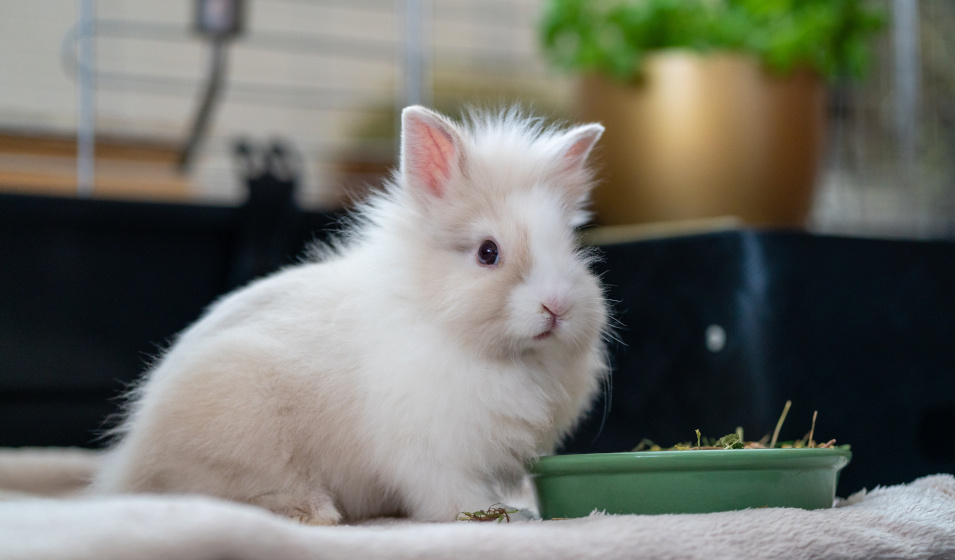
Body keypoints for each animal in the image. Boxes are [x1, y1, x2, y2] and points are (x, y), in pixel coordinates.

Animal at [91, 105, 611, 524]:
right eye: (488, 252)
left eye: (570, 247)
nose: (557, 307)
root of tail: (130, 462)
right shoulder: (433, 451)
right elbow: (451, 494)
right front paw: (496, 514)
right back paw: (317, 512)